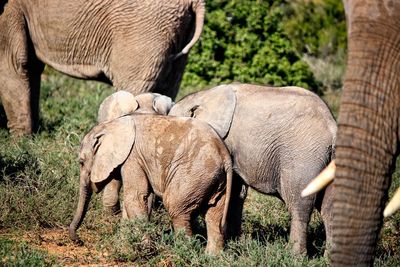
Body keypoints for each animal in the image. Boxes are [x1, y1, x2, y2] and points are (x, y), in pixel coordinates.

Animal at [68, 114, 231, 254]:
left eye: (81, 162)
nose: (79, 241)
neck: (110, 125)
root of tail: (225, 155)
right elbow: (133, 202)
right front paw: (125, 248)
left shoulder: (132, 157)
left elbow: (135, 197)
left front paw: (146, 250)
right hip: (214, 179)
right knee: (214, 216)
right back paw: (211, 257)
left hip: (194, 173)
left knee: (176, 208)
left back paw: (184, 252)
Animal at [169, 84, 338, 255]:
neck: (204, 95)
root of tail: (332, 129)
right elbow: (236, 192)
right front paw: (234, 244)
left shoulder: (226, 140)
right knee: (329, 209)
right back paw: (327, 257)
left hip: (303, 157)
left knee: (299, 204)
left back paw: (294, 255)